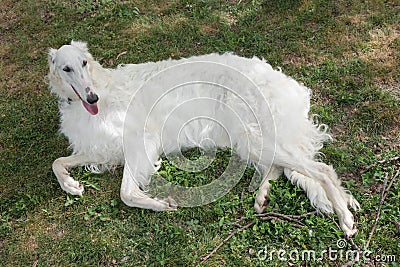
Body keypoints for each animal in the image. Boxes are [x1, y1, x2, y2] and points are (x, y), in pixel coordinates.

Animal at [47, 40, 360, 237]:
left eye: (84, 62)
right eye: (66, 68)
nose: (92, 98)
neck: (103, 88)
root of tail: (286, 84)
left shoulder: (140, 142)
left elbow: (126, 193)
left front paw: (161, 204)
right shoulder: (103, 149)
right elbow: (57, 162)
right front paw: (71, 185)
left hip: (255, 134)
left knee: (322, 170)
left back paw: (345, 219)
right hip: (250, 139)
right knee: (280, 167)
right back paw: (262, 196)